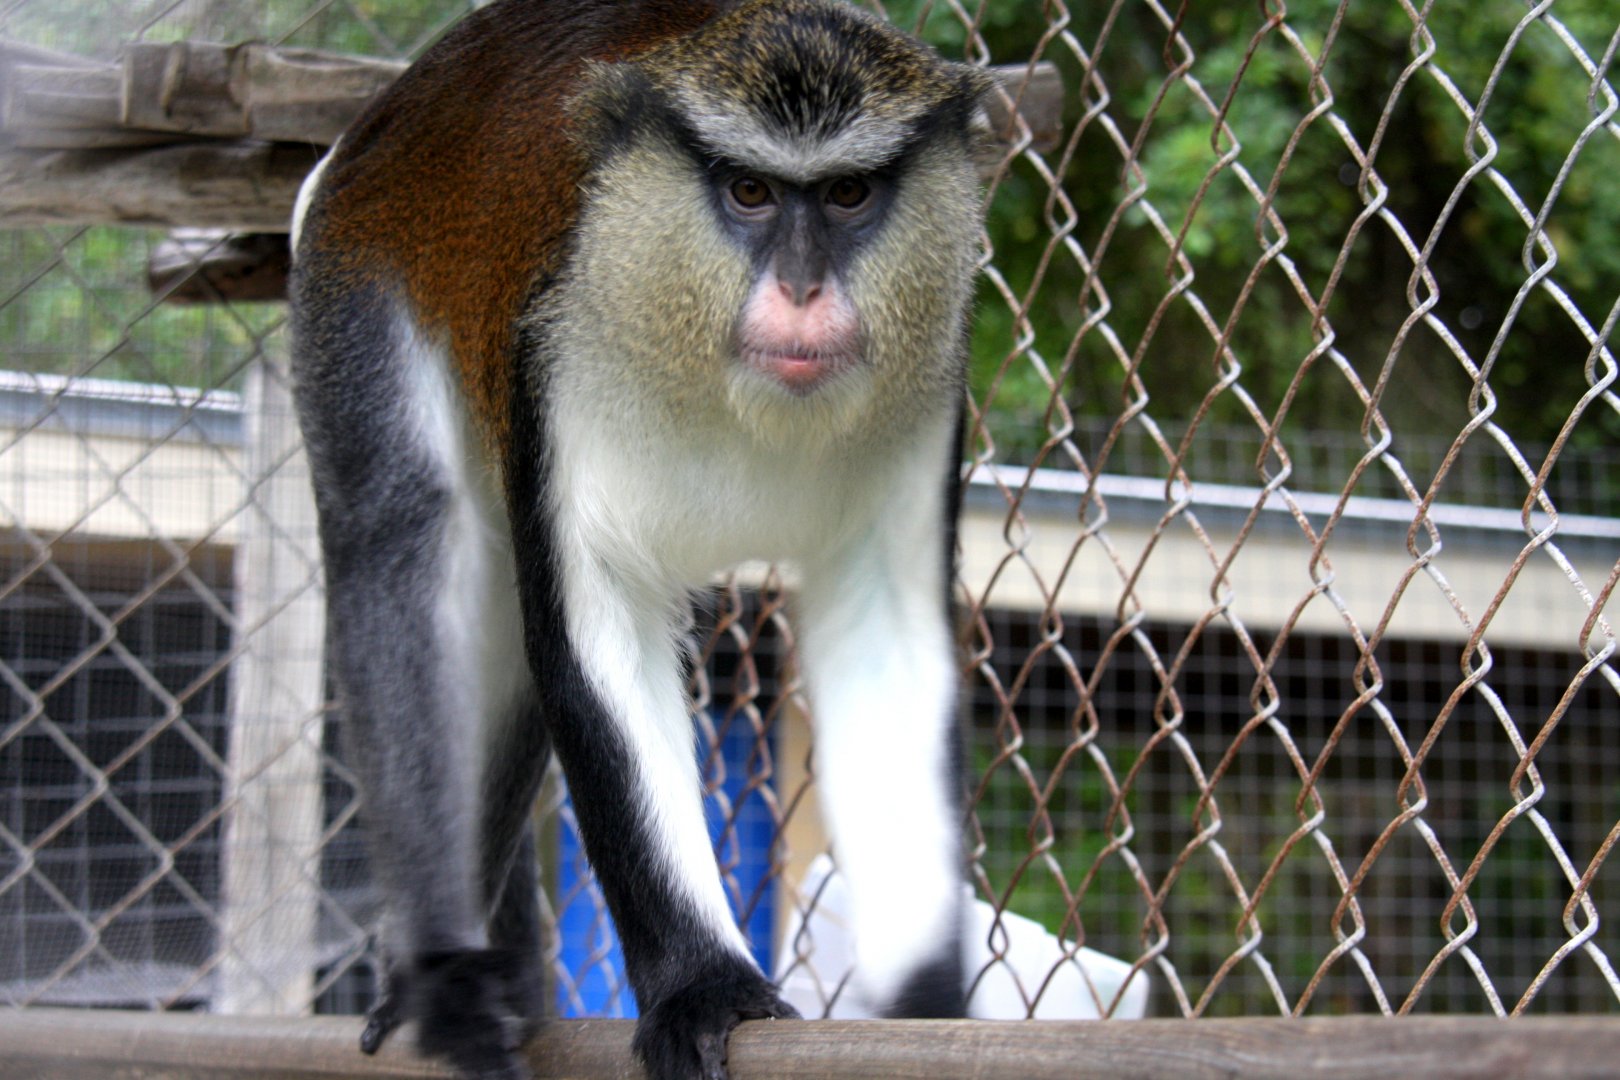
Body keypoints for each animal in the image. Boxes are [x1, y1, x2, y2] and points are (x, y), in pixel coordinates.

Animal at [288, 1, 989, 1077]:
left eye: (847, 193)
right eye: (749, 190)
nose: (802, 290)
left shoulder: (929, 387)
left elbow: (890, 645)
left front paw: (924, 1011)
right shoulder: (550, 367)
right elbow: (594, 637)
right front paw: (705, 990)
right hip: (350, 275)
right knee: (407, 539)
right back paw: (439, 981)